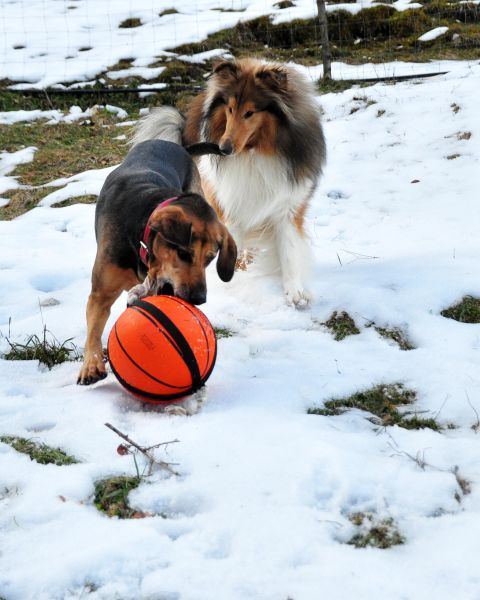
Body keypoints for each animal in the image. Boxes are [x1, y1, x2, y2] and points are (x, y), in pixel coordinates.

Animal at [75, 137, 238, 384]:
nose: (199, 299)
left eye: (210, 259)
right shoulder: (100, 293)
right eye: (184, 254)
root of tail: (175, 145)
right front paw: (91, 366)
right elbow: (93, 330)